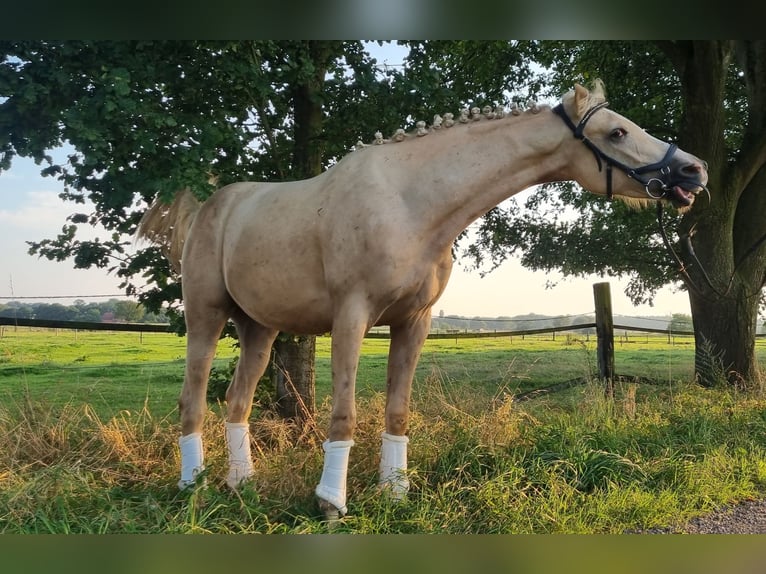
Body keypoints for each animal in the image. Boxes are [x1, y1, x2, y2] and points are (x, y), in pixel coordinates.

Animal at [136, 82, 708, 520]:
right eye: (617, 132)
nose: (694, 171)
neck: (410, 201)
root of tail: (208, 207)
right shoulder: (351, 317)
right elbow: (344, 414)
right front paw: (330, 503)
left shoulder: (414, 322)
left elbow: (398, 411)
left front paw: (396, 493)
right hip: (206, 319)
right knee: (192, 401)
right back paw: (193, 486)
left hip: (259, 327)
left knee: (237, 403)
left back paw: (242, 485)